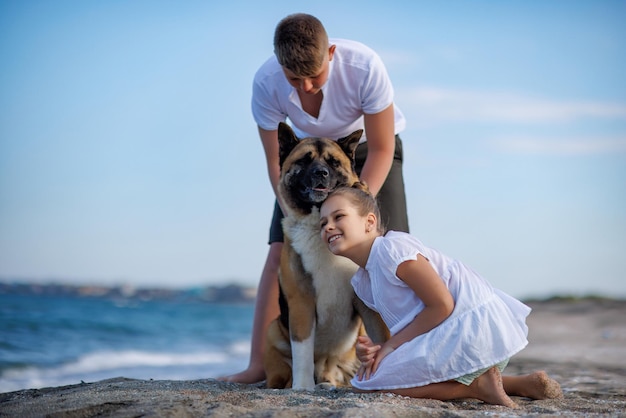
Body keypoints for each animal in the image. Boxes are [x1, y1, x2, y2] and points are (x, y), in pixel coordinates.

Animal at [260, 122, 388, 390]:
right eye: (304, 160)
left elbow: (383, 337)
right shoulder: (301, 302)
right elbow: (302, 351)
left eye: (333, 162)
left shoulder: (368, 303)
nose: (321, 173)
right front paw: (302, 387)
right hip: (273, 330)